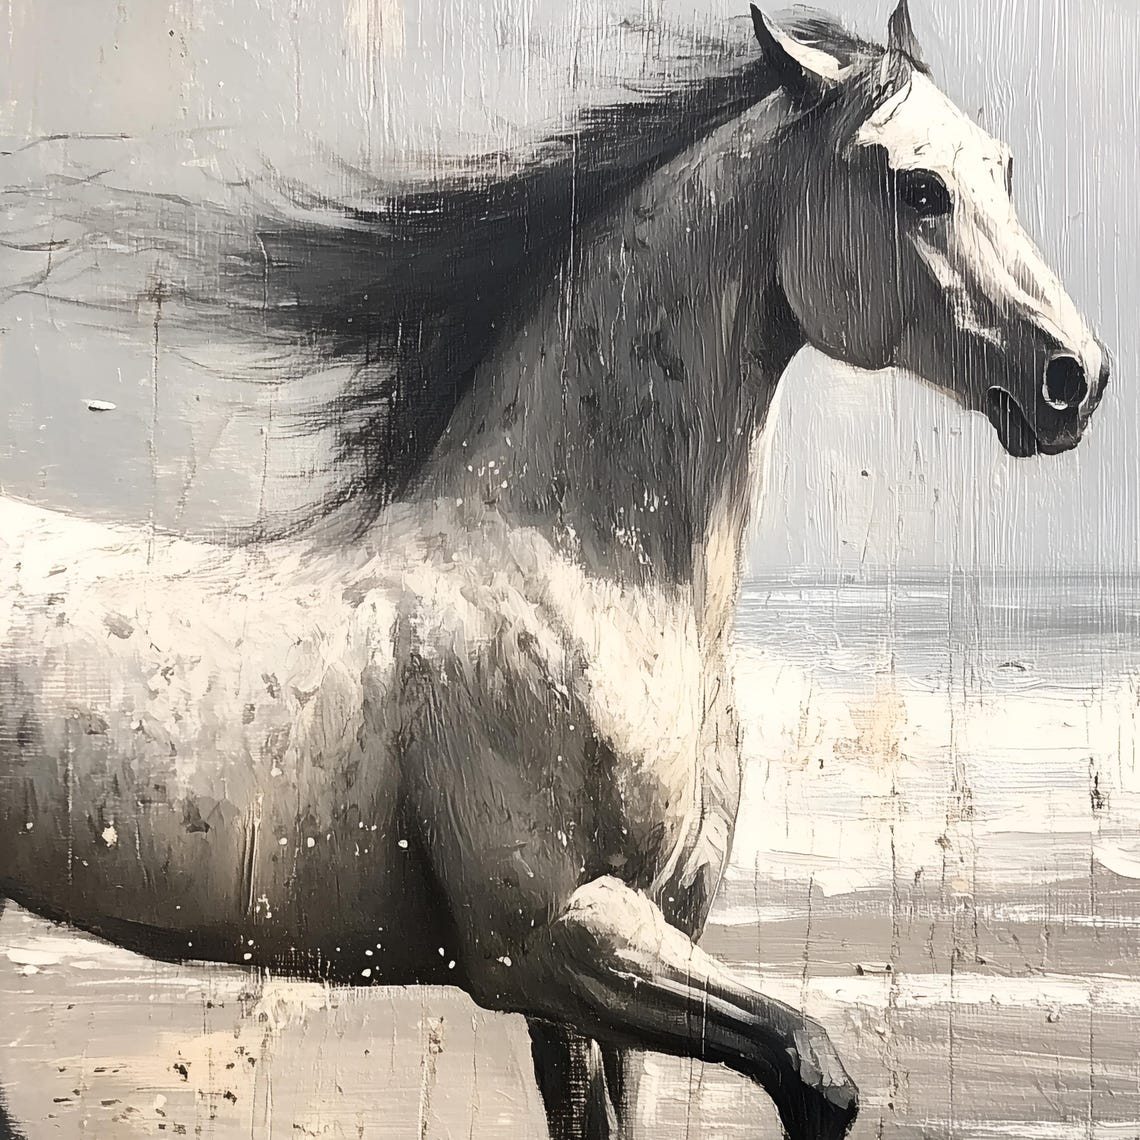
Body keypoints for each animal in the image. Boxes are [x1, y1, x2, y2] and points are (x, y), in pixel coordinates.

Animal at [0, 2, 1110, 1137]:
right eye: (917, 186)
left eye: (1003, 167)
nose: (1074, 379)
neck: (585, 580)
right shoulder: (552, 941)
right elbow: (812, 1064)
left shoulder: (622, 962)